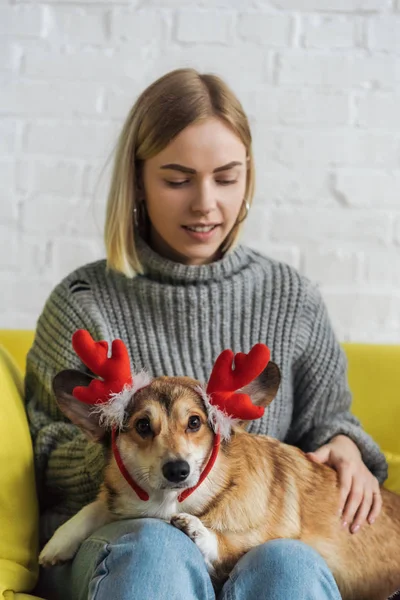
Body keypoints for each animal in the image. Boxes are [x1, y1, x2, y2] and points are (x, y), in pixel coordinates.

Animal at [38, 332, 400, 600]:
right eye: (142, 425)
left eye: (195, 422)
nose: (178, 470)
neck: (172, 503)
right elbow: (96, 506)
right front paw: (58, 541)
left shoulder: (263, 536)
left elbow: (227, 543)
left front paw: (198, 531)